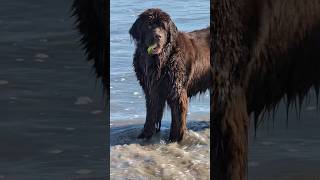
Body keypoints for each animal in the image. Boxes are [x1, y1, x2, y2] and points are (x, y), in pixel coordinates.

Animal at [129, 8, 211, 142]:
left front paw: (175, 139)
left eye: (163, 27)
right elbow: (151, 113)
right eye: (149, 25)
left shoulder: (176, 91)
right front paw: (146, 134)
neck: (159, 61)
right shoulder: (151, 90)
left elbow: (177, 118)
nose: (157, 36)